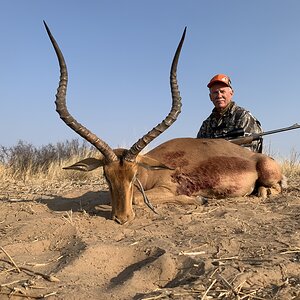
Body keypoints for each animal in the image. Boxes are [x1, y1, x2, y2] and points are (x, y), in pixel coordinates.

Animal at [44, 22, 284, 225]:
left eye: (133, 176)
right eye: (106, 176)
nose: (122, 218)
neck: (150, 172)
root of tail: (258, 158)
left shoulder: (167, 188)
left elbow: (138, 198)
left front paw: (201, 199)